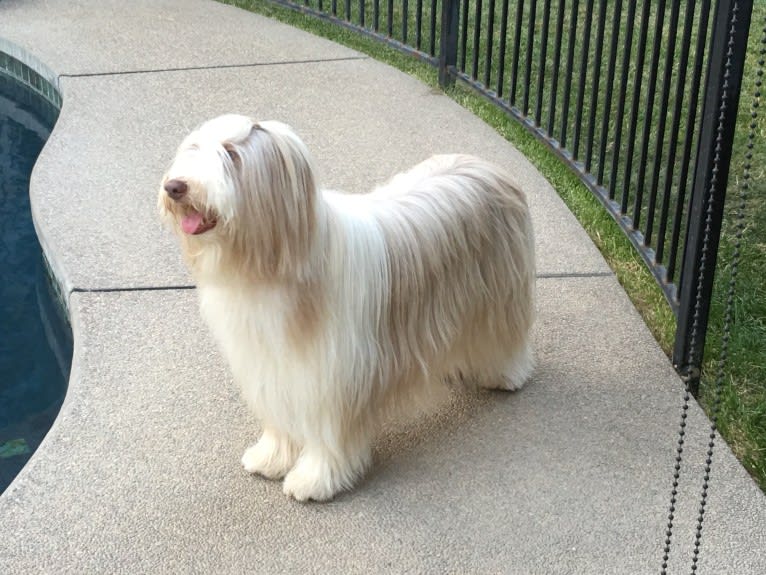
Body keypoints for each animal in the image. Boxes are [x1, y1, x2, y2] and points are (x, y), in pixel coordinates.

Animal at [159, 115, 536, 502]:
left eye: (232, 155)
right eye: (193, 148)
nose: (175, 187)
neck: (272, 266)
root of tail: (486, 165)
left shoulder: (334, 373)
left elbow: (327, 433)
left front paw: (314, 478)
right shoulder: (270, 365)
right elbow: (279, 420)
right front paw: (271, 457)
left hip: (500, 295)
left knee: (505, 336)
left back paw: (507, 375)